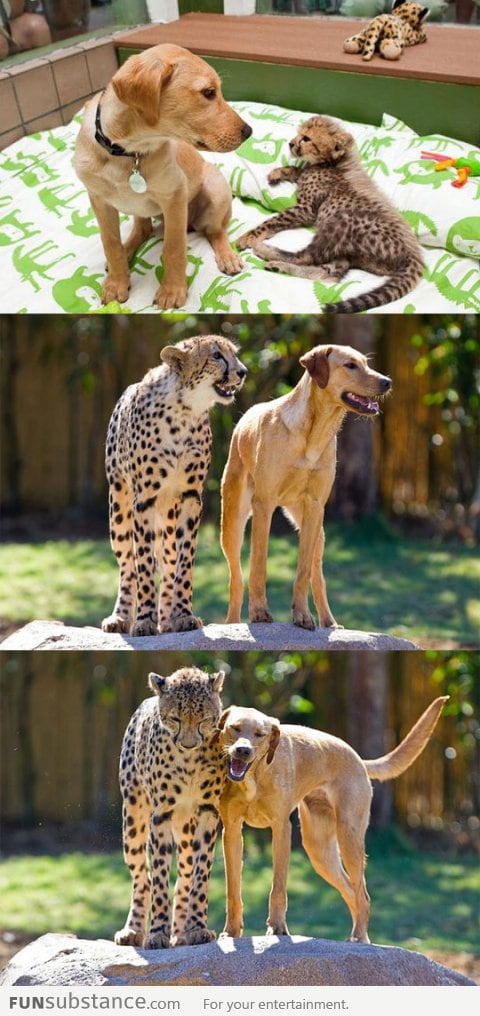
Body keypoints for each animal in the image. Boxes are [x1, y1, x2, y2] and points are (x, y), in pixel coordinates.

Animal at [75, 41, 251, 308]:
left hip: (216, 189)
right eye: (209, 92)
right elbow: (110, 243)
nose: (249, 131)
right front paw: (116, 283)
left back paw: (227, 256)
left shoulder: (175, 197)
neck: (128, 152)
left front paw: (172, 290)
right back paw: (129, 249)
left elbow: (173, 248)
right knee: (143, 229)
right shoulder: (99, 200)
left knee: (215, 231)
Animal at [100, 335, 244, 633]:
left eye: (234, 354)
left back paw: (165, 619)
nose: (243, 372)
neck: (185, 410)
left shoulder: (190, 496)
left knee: (167, 563)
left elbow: (183, 561)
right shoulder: (144, 499)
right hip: (119, 508)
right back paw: (121, 617)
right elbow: (143, 563)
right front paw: (144, 619)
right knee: (126, 565)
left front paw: (182, 615)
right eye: (216, 356)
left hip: (167, 514)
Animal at [114, 666, 224, 942]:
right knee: (142, 877)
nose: (188, 743)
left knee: (184, 875)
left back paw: (180, 933)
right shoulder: (161, 813)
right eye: (175, 718)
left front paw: (197, 927)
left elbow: (200, 874)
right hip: (133, 819)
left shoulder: (208, 811)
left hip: (185, 828)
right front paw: (157, 933)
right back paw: (134, 929)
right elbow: (159, 876)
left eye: (204, 719)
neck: (189, 761)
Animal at [215, 699, 447, 942]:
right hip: (320, 852)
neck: (254, 776)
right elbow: (233, 891)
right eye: (235, 728)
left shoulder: (281, 829)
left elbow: (278, 888)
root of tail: (358, 759)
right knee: (351, 891)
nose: (243, 750)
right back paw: (359, 937)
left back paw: (358, 937)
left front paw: (277, 928)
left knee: (362, 895)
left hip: (349, 838)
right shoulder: (231, 832)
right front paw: (231, 931)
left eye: (260, 734)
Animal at [219, 343, 392, 625]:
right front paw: (259, 612)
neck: (314, 432)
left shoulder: (315, 506)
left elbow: (303, 572)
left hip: (317, 531)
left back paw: (329, 622)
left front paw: (301, 615)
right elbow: (258, 566)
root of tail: (245, 417)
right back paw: (232, 623)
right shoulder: (264, 505)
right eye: (350, 365)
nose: (387, 382)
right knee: (236, 579)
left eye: (366, 363)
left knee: (317, 577)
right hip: (232, 524)